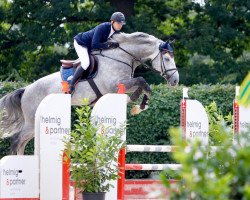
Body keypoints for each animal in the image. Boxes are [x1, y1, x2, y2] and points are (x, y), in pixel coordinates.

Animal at [0, 32, 180, 155]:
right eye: (167, 59)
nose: (175, 81)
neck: (122, 56)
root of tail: (26, 90)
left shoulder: (123, 85)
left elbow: (144, 86)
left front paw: (139, 105)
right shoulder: (115, 85)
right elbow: (142, 81)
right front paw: (137, 103)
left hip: (34, 124)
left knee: (21, 143)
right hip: (31, 122)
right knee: (17, 139)